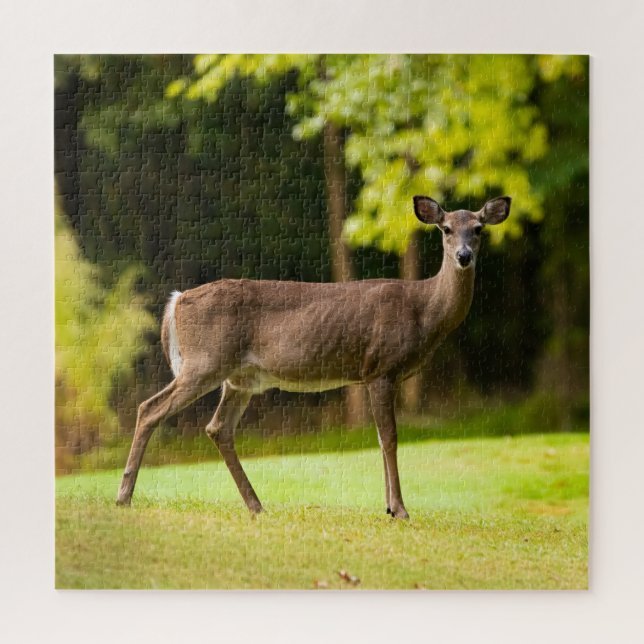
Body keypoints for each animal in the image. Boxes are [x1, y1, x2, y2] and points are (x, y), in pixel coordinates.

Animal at [117, 195, 511, 519]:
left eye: (478, 228)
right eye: (446, 228)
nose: (464, 256)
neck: (424, 311)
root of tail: (177, 300)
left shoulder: (379, 374)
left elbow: (381, 438)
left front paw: (388, 506)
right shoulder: (380, 367)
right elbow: (390, 437)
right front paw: (399, 509)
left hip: (240, 378)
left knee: (218, 428)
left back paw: (256, 505)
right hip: (205, 361)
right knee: (149, 408)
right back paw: (124, 496)